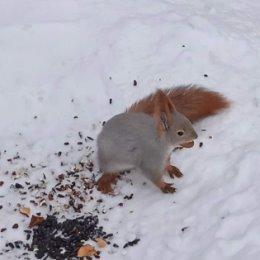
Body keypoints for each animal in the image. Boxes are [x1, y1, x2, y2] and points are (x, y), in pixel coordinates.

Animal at [96, 85, 230, 193]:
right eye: (180, 133)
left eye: (188, 120)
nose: (195, 136)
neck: (162, 143)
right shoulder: (150, 161)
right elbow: (154, 177)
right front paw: (164, 186)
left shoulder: (166, 156)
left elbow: (167, 163)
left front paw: (171, 168)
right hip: (110, 161)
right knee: (107, 170)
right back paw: (106, 180)